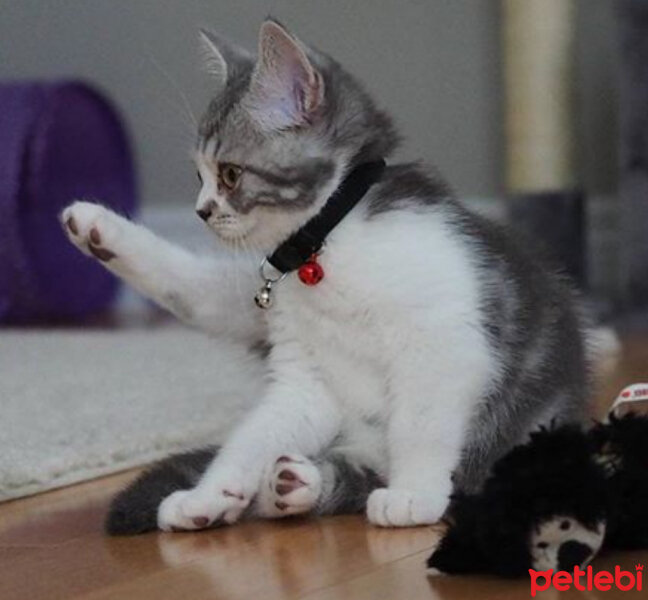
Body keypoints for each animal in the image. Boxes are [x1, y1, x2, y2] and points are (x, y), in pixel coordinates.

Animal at [63, 21, 588, 532]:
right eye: (199, 177)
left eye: (230, 174)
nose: (201, 211)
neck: (326, 247)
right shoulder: (304, 373)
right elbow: (254, 434)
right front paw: (209, 495)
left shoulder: (445, 341)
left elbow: (420, 423)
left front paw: (414, 494)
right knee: (198, 291)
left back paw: (305, 484)